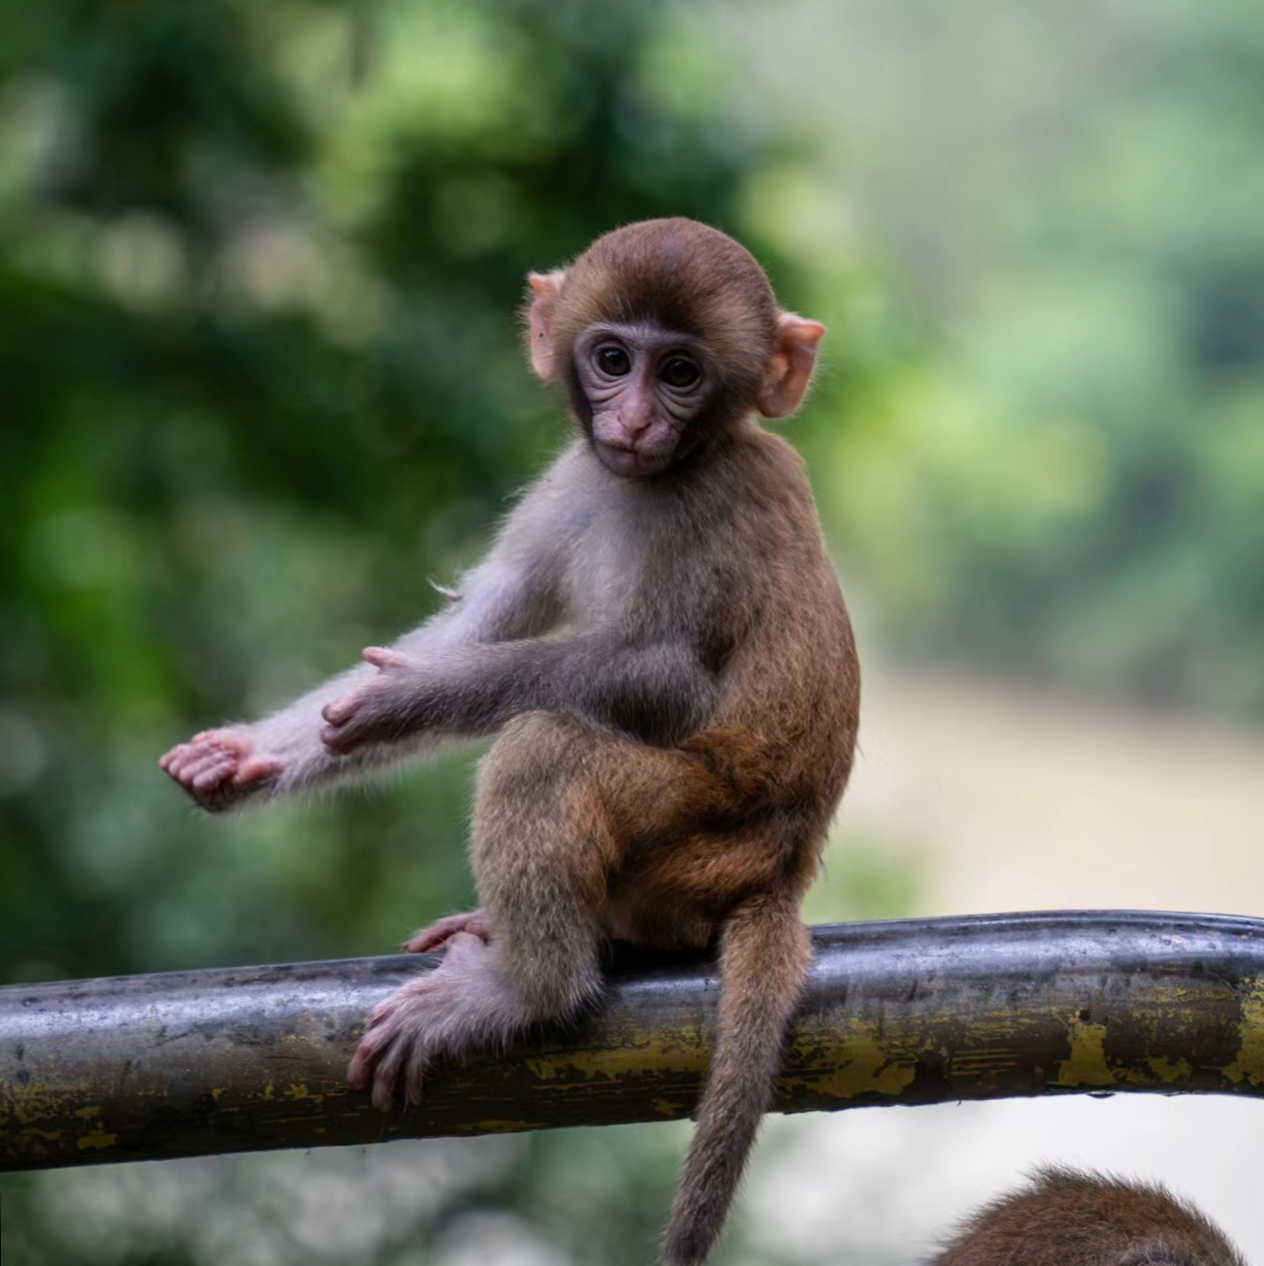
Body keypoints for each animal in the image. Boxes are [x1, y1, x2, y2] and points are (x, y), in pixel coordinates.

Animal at [160, 220, 861, 1266]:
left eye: (682, 372)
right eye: (612, 360)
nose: (636, 421)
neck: (658, 476)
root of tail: (782, 873)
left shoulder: (710, 513)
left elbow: (668, 681)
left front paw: (413, 698)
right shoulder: (574, 480)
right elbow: (483, 615)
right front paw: (254, 753)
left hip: (698, 839)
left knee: (544, 751)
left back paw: (525, 989)